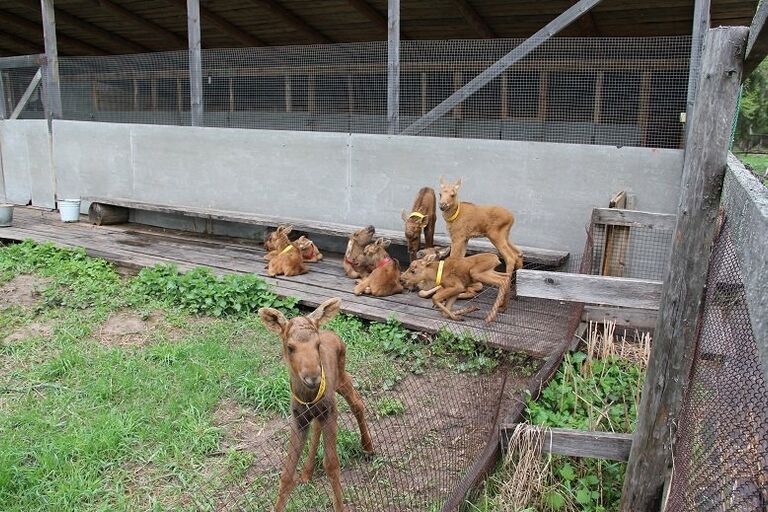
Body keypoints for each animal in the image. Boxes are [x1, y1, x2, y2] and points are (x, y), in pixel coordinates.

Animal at [260, 296, 376, 512]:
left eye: (317, 344)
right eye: (290, 347)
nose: (313, 377)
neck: (308, 397)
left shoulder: (330, 410)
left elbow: (332, 465)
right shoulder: (298, 417)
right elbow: (287, 474)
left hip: (341, 378)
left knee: (357, 403)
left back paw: (368, 447)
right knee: (317, 426)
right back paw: (307, 471)